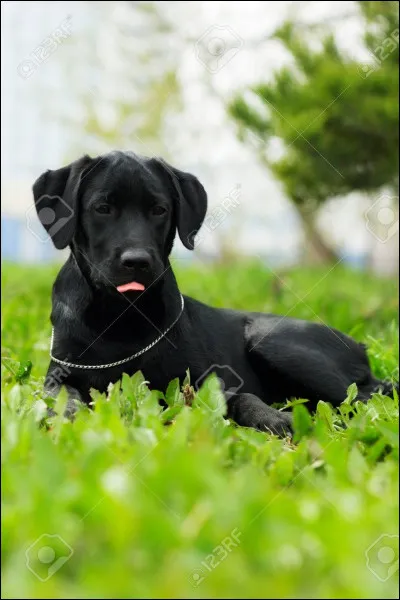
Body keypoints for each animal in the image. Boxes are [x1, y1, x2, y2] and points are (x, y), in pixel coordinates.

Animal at [34, 152, 396, 436]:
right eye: (102, 208)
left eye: (159, 209)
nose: (137, 262)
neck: (121, 317)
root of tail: (359, 345)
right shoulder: (57, 376)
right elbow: (64, 396)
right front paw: (68, 417)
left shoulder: (210, 379)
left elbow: (242, 396)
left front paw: (272, 418)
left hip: (273, 341)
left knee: (365, 397)